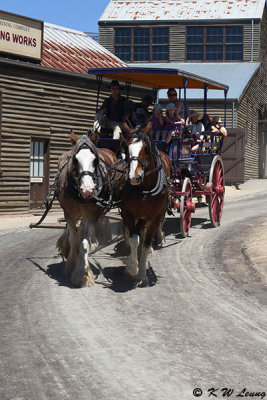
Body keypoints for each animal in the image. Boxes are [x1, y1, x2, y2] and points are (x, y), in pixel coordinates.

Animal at [56, 134, 116, 288]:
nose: (88, 190)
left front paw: (83, 275)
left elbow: (84, 242)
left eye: (94, 160)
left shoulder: (91, 214)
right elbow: (73, 238)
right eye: (75, 159)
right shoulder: (69, 213)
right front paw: (71, 265)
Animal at [119, 123, 172, 286]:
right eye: (126, 147)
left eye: (146, 148)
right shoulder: (128, 213)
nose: (133, 177)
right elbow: (134, 239)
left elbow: (146, 243)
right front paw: (132, 268)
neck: (144, 189)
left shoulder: (155, 217)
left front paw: (142, 274)